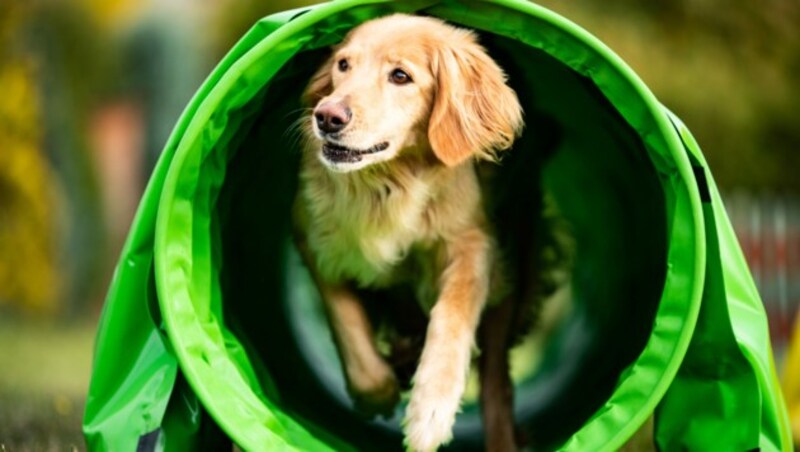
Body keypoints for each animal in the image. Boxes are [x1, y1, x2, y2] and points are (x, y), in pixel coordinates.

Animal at [290, 14, 528, 452]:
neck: (388, 182)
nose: (327, 117)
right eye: (343, 65)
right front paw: (380, 393)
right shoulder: (313, 237)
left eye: (400, 76)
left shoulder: (473, 242)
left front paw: (429, 413)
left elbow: (453, 315)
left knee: (496, 384)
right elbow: (347, 323)